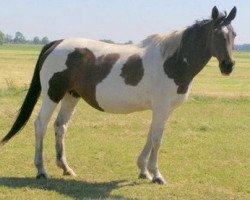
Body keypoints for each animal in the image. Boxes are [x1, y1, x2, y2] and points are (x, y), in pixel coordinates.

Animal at [0, 6, 236, 184]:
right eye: (216, 33)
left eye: (233, 34)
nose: (228, 65)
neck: (171, 60)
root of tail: (56, 43)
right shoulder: (161, 107)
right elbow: (157, 139)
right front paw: (156, 175)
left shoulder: (164, 110)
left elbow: (151, 135)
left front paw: (143, 171)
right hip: (53, 94)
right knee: (41, 125)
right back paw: (41, 170)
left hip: (70, 95)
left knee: (61, 127)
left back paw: (66, 168)